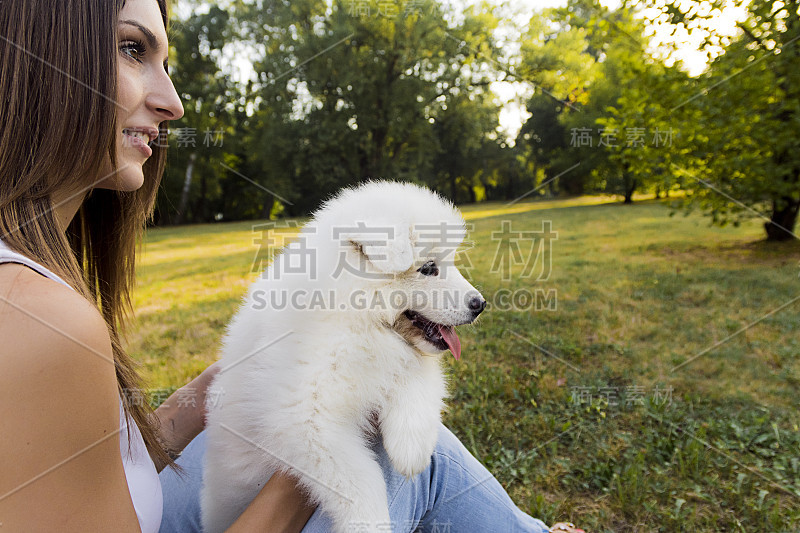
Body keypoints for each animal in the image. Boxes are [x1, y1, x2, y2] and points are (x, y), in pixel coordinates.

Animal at [203, 181, 484, 528]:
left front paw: (411, 450)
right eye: (429, 268)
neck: (354, 316)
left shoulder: (402, 356)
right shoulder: (307, 421)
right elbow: (360, 480)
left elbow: (417, 376)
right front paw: (370, 524)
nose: (480, 304)